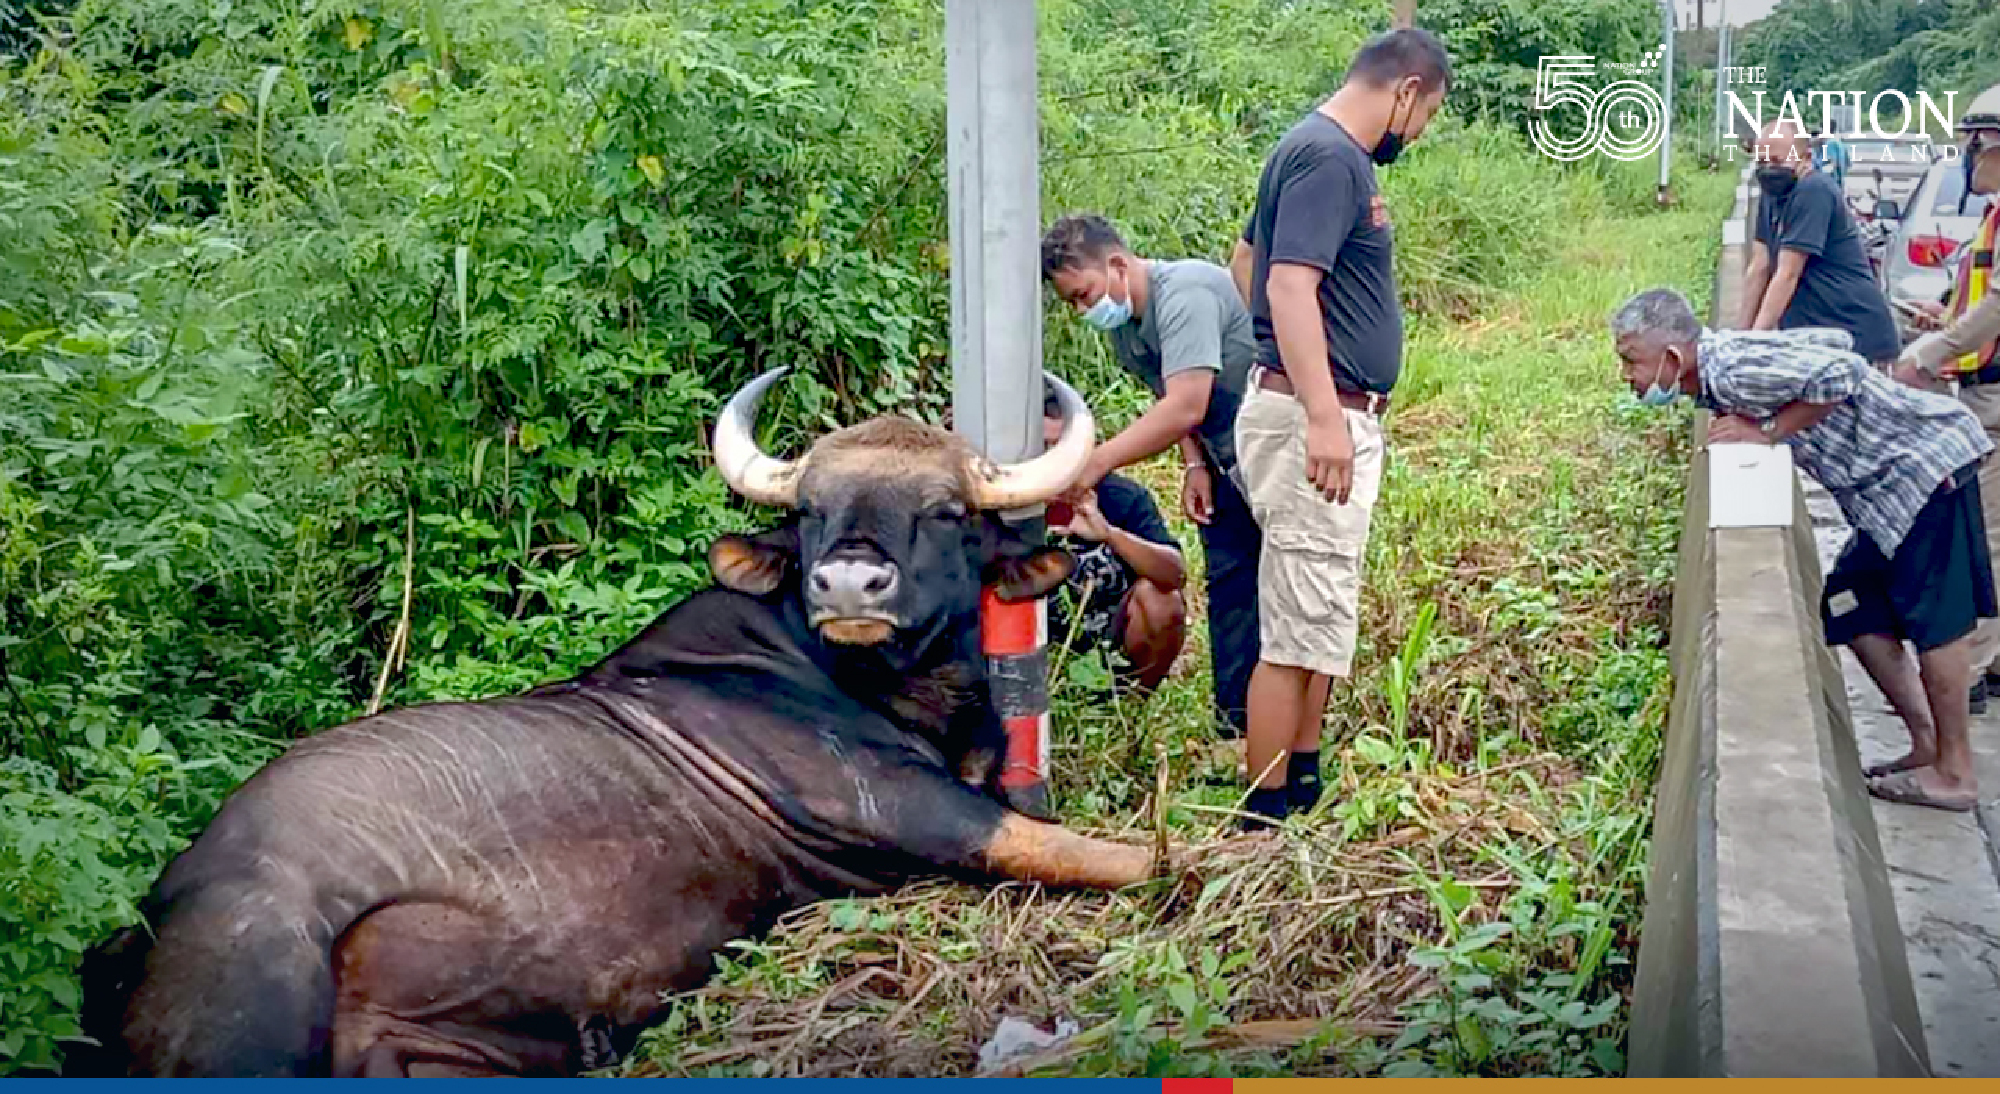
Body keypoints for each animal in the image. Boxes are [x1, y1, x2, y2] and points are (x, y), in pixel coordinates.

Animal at [72, 369, 1162, 1078]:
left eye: (942, 510)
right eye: (810, 508)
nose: (849, 581)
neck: (870, 680)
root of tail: (140, 919)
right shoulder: (910, 808)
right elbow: (1095, 851)